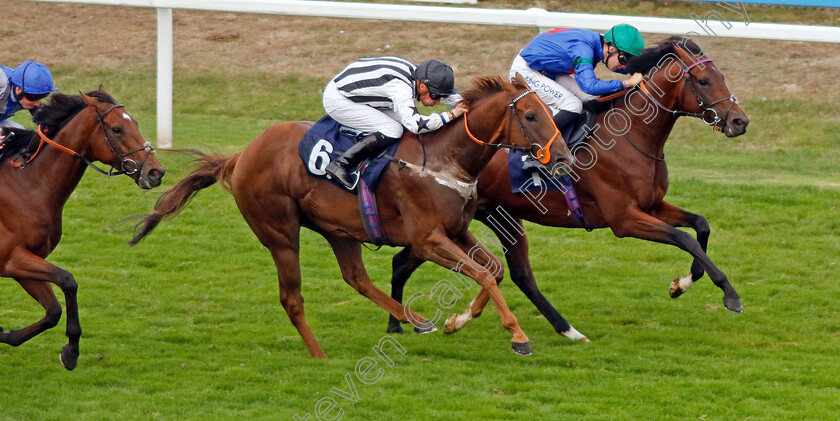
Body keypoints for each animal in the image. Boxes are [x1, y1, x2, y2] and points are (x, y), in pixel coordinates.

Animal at [0, 87, 166, 370]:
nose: (156, 171)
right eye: (117, 129)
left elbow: (53, 310)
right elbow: (68, 280)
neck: (28, 185)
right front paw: (72, 350)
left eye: (135, 122)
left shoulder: (23, 260)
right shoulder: (10, 258)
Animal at [131, 74, 576, 356]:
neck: (444, 159)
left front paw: (457, 320)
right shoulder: (427, 239)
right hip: (280, 232)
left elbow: (494, 270)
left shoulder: (455, 231)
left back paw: (417, 320)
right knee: (292, 298)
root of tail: (241, 155)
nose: (565, 159)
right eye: (532, 116)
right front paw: (518, 336)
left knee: (356, 279)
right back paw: (319, 354)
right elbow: (483, 273)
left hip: (339, 229)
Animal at [386, 35, 748, 338]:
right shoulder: (624, 219)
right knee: (410, 261)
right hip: (450, 220)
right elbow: (685, 238)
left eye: (723, 77)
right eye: (704, 81)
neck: (632, 137)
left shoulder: (653, 205)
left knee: (514, 273)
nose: (740, 121)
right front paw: (729, 294)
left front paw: (682, 284)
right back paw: (400, 324)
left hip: (494, 217)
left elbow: (700, 226)